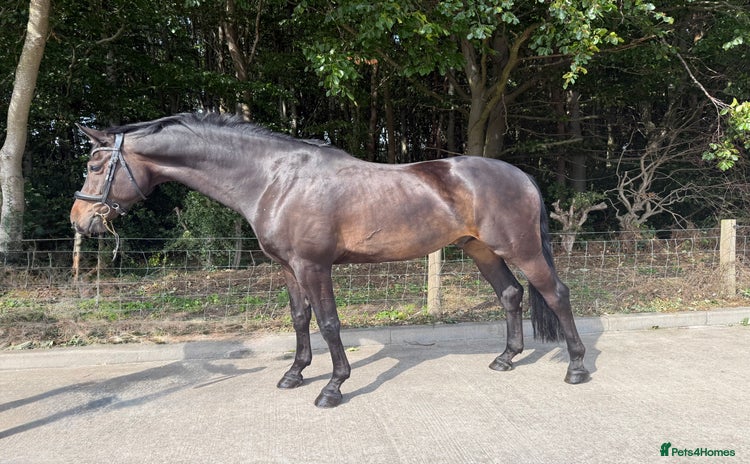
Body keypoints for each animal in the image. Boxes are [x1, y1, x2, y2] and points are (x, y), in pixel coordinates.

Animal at [70, 112, 591, 408]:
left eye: (96, 165)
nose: (80, 220)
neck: (274, 178)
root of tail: (520, 175)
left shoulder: (313, 266)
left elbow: (329, 323)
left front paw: (333, 387)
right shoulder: (288, 268)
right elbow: (300, 319)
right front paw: (294, 374)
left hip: (521, 249)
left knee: (556, 294)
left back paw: (577, 368)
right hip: (480, 249)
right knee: (511, 294)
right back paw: (505, 359)